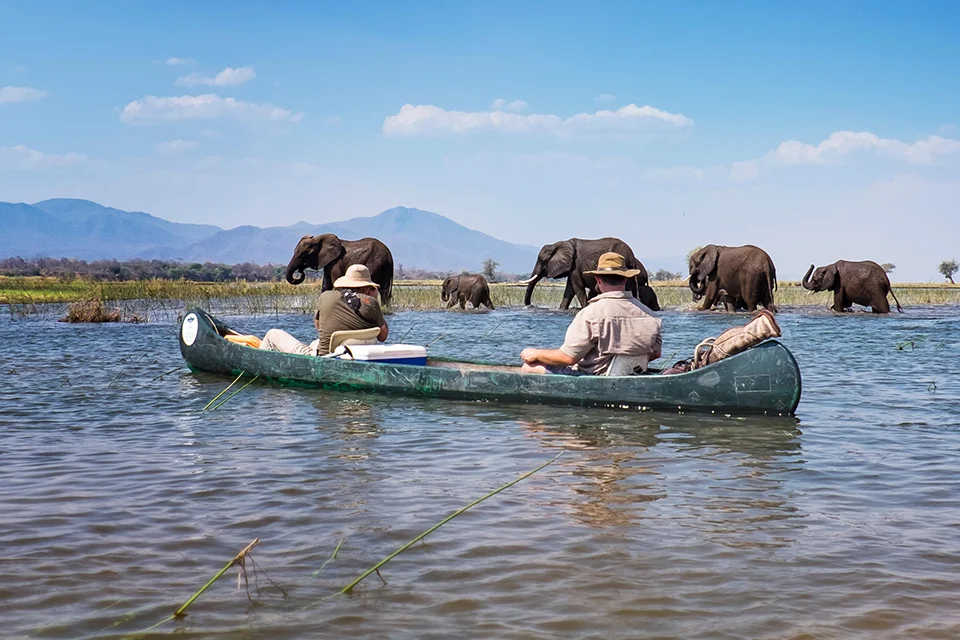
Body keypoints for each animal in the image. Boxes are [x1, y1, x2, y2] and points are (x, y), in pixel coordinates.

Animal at [520, 238, 660, 311]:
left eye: (542, 260)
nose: (530, 305)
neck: (561, 243)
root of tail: (631, 256)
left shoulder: (576, 266)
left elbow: (577, 288)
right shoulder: (573, 268)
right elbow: (570, 289)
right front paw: (562, 309)